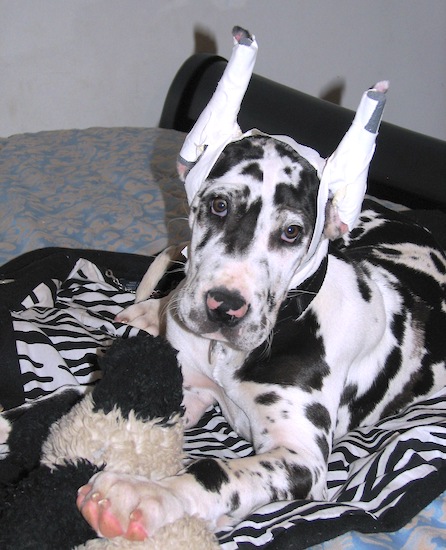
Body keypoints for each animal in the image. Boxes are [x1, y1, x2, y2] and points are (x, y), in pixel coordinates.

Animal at [76, 135, 446, 544]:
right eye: (219, 205)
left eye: (292, 232)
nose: (224, 307)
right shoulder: (189, 388)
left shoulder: (301, 457)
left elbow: (217, 471)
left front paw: (149, 494)